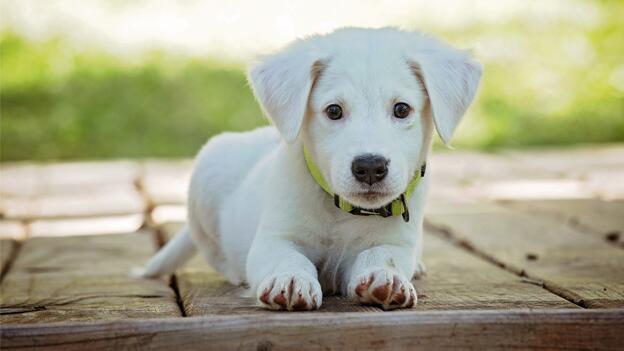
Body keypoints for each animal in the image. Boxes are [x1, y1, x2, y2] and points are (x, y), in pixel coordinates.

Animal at [140, 27, 482, 310]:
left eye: (401, 109)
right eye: (334, 111)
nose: (370, 167)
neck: (341, 211)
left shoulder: (396, 242)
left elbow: (382, 255)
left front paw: (385, 277)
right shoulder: (274, 238)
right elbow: (287, 257)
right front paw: (290, 280)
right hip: (207, 175)